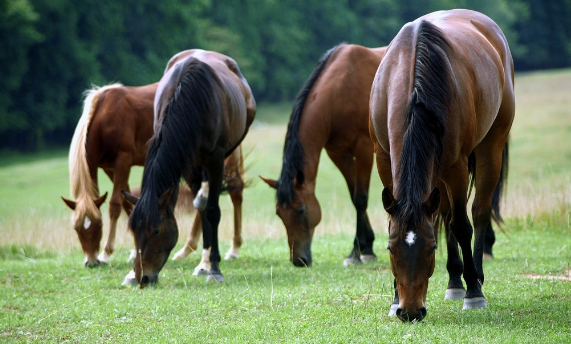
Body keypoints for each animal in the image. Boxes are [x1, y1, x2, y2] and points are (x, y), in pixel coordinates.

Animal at [62, 82, 246, 268]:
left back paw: (233, 249)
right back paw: (187, 249)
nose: (91, 261)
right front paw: (135, 250)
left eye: (99, 225)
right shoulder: (110, 168)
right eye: (76, 228)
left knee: (234, 192)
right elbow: (129, 203)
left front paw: (106, 253)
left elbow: (115, 205)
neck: (104, 117)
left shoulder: (123, 160)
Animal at [123, 50, 256, 288]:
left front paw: (215, 268)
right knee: (201, 206)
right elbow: (203, 212)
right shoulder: (186, 162)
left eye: (156, 231)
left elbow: (212, 211)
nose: (143, 277)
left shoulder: (216, 159)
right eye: (133, 231)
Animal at [262, 44, 388, 268]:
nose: (299, 260)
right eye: (279, 213)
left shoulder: (363, 149)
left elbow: (360, 198)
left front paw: (357, 253)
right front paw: (365, 247)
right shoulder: (338, 153)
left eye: (301, 210)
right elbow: (353, 196)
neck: (341, 91)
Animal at [368, 9, 516, 322]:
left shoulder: (457, 167)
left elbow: (461, 225)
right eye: (390, 248)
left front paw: (474, 293)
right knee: (446, 214)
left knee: (478, 211)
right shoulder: (384, 159)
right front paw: (394, 298)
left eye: (431, 247)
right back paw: (454, 281)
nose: (410, 312)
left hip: (490, 148)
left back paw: (474, 278)